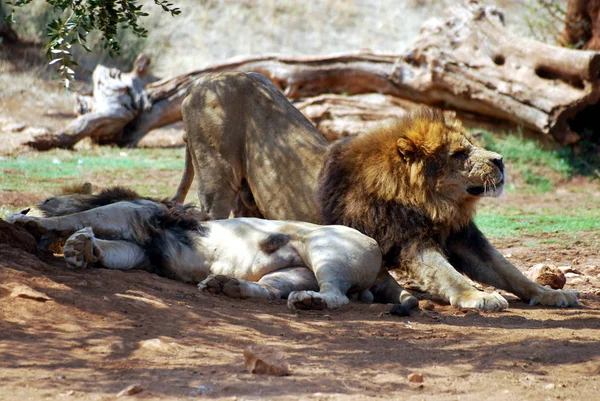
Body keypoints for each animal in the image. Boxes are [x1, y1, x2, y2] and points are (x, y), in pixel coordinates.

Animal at [7, 186, 384, 310]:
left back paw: (311, 302)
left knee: (338, 296)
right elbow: (109, 250)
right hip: (291, 272)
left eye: (45, 200)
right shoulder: (141, 252)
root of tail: (377, 247)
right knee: (269, 291)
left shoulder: (135, 214)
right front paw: (81, 250)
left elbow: (82, 215)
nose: (24, 207)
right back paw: (225, 286)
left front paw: (29, 224)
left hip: (326, 252)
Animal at [176, 70, 580, 310]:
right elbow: (446, 273)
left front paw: (552, 294)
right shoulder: (408, 240)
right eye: (460, 154)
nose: (500, 160)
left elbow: (510, 271)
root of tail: (200, 83)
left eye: (475, 146)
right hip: (217, 177)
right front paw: (476, 297)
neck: (438, 203)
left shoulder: (464, 238)